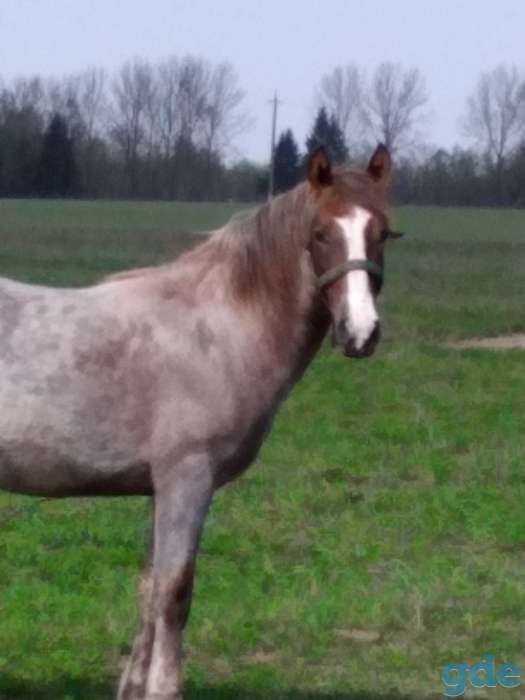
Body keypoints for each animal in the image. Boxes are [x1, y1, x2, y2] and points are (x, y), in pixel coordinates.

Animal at [0, 145, 401, 700]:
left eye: (382, 232)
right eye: (321, 233)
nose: (360, 333)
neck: (217, 328)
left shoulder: (158, 488)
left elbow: (148, 589)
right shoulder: (187, 480)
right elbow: (174, 592)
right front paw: (165, 687)